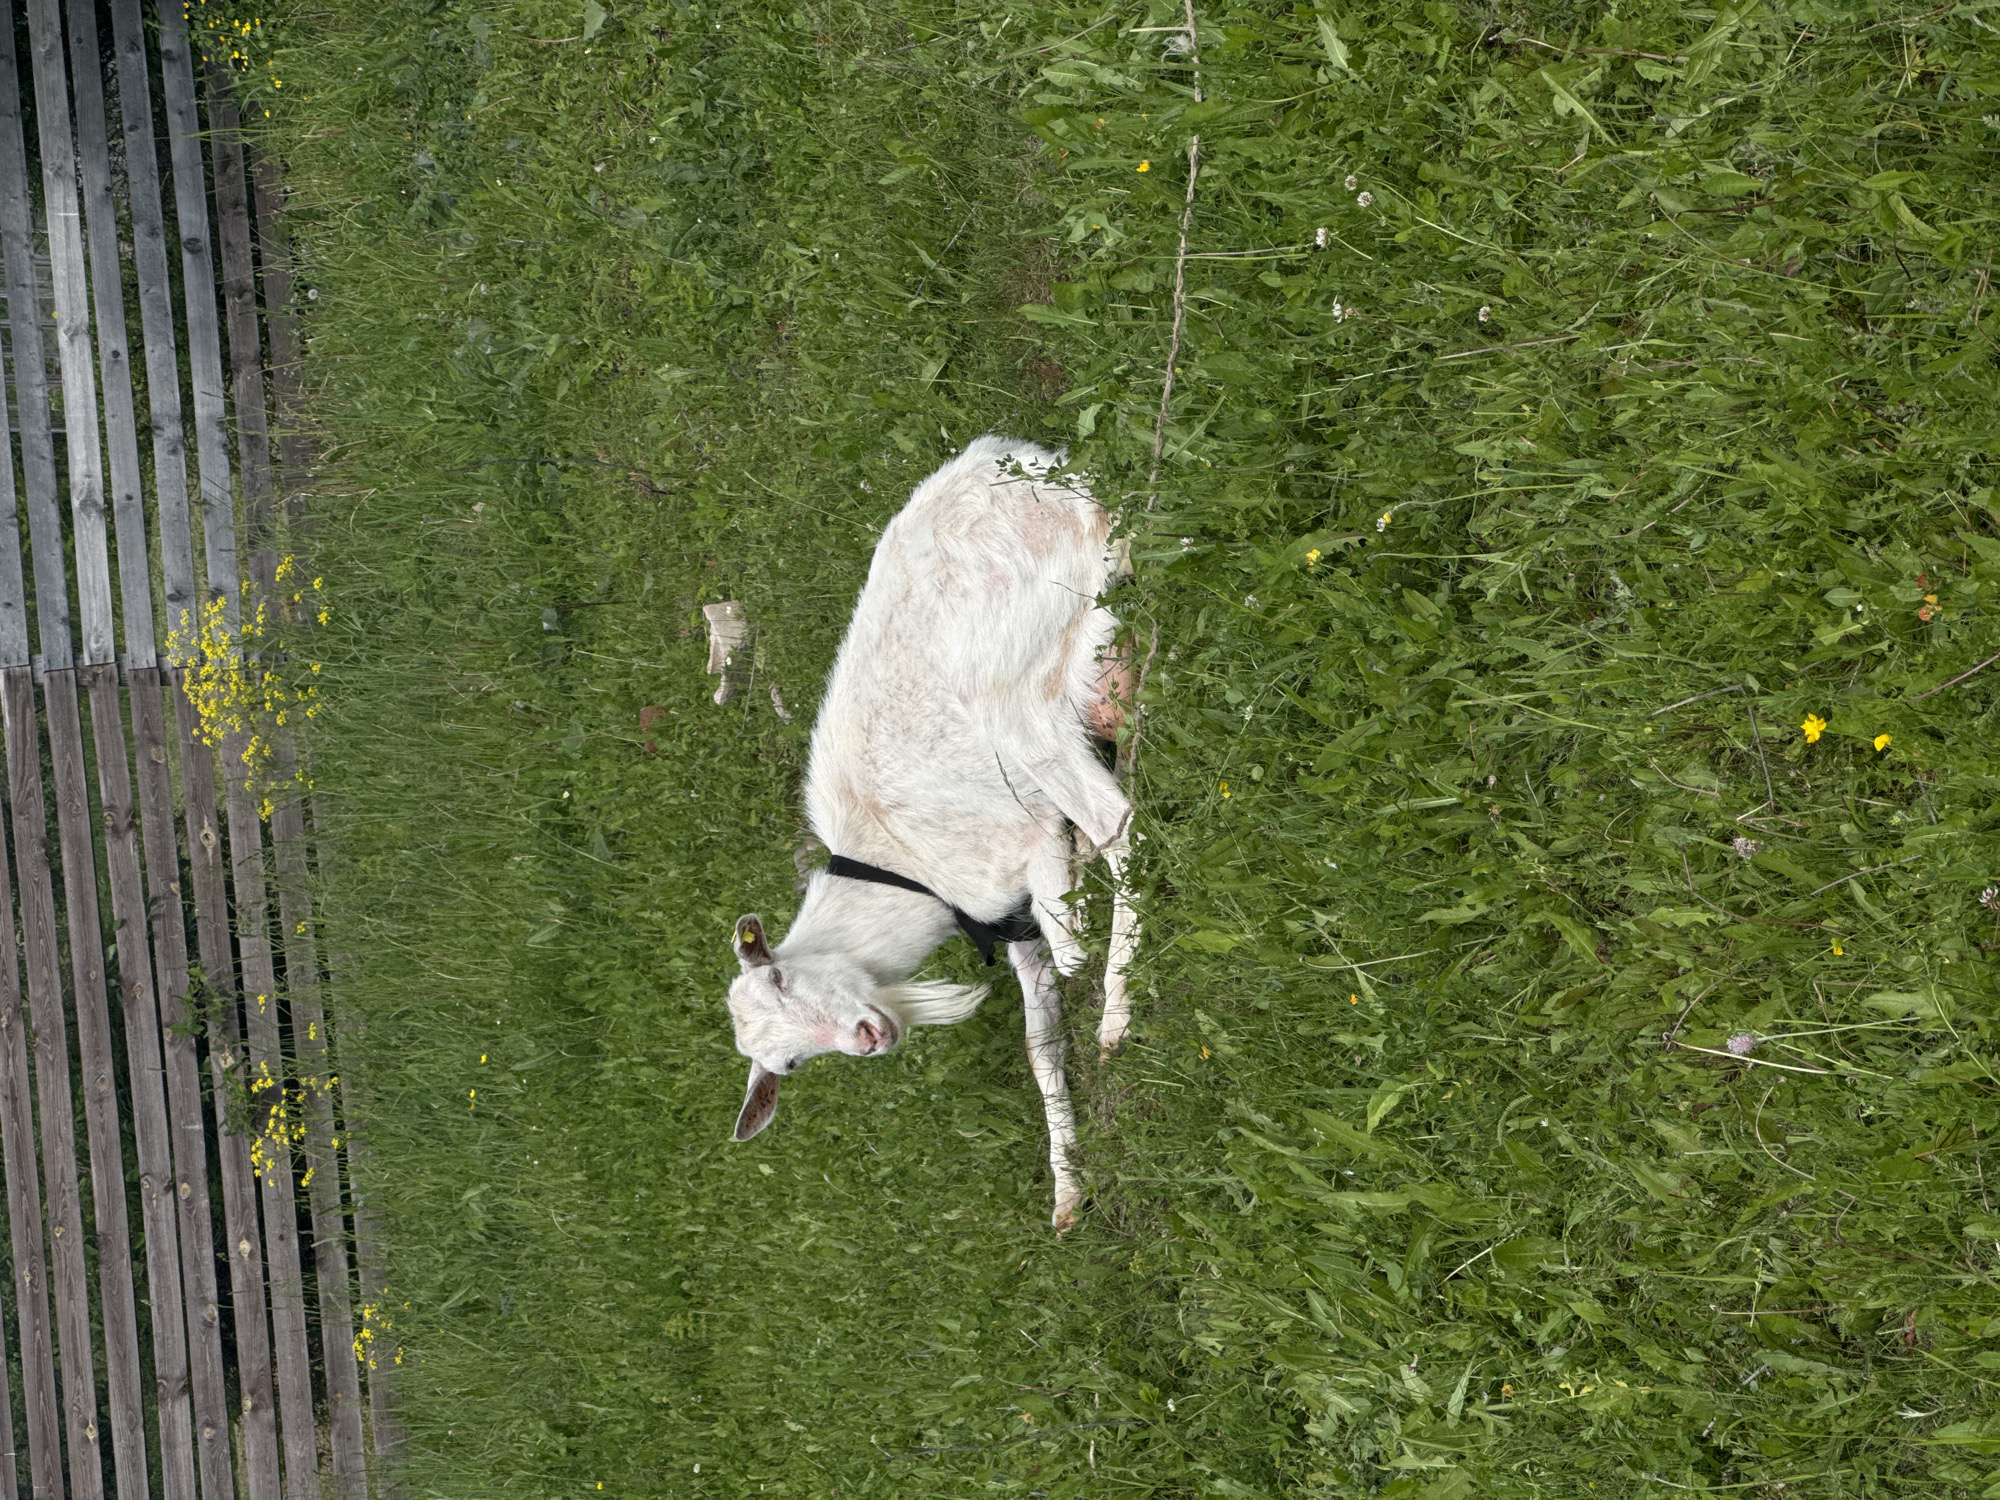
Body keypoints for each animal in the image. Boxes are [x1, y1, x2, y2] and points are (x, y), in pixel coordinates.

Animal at [723, 436, 1140, 1229]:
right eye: (787, 1065)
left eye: (781, 977)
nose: (867, 1037)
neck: (900, 865)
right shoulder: (1009, 921)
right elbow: (1039, 1044)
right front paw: (1067, 1191)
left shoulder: (1023, 847)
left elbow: (1072, 941)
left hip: (1019, 688)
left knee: (1115, 821)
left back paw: (1116, 1017)